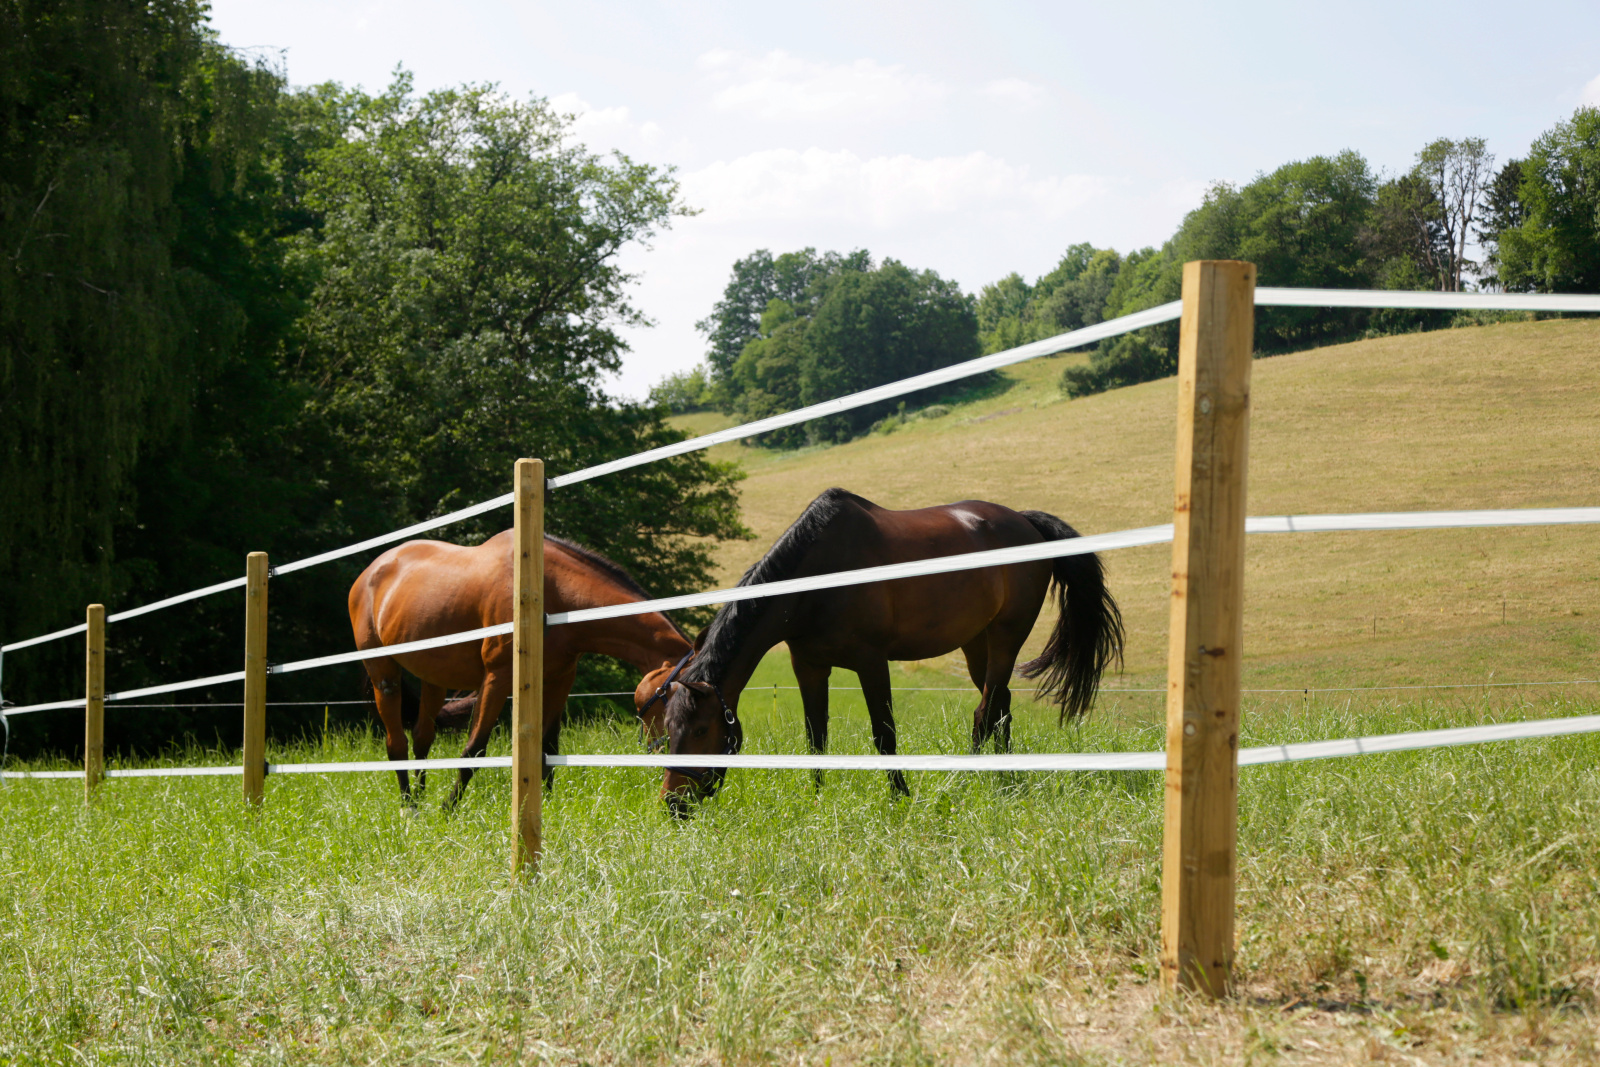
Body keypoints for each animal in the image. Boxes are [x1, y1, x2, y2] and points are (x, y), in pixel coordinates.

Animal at [350, 534, 688, 809]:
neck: (552, 590)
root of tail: (370, 571)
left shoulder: (559, 680)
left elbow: (548, 750)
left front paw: (547, 808)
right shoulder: (497, 678)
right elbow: (473, 751)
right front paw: (449, 809)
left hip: (434, 679)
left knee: (422, 738)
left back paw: (420, 799)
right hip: (384, 676)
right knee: (397, 744)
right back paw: (410, 808)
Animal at [656, 492, 1120, 809]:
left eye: (701, 730)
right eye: (668, 728)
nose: (672, 804)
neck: (817, 579)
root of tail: (1025, 522)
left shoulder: (871, 662)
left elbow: (885, 735)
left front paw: (900, 798)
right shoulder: (809, 666)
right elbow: (815, 737)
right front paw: (818, 799)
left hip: (1007, 636)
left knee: (984, 712)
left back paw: (967, 778)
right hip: (977, 643)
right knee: (1001, 703)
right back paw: (1003, 777)